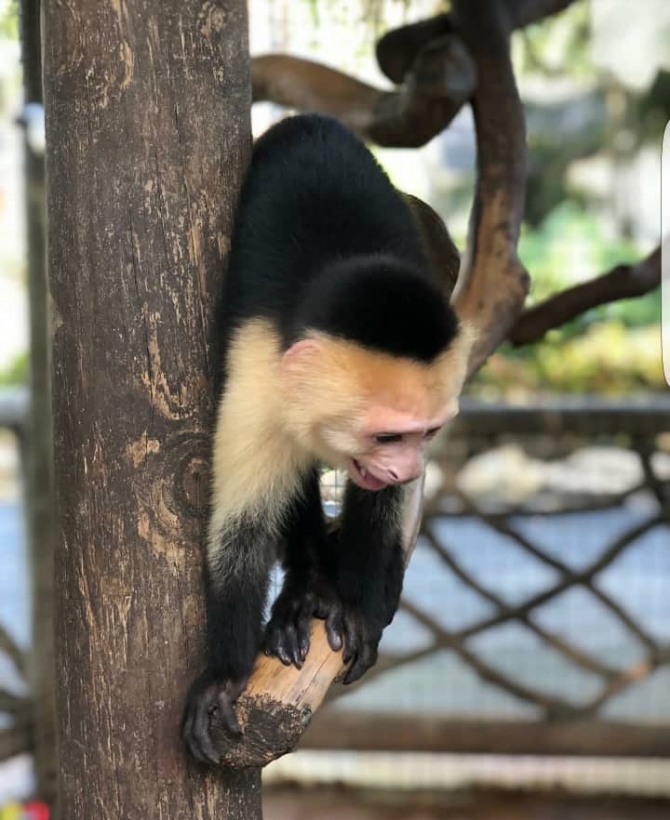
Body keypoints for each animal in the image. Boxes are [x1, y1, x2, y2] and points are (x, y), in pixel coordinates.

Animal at [182, 114, 472, 764]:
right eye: (386, 435)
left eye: (426, 432)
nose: (406, 465)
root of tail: (309, 120)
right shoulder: (259, 383)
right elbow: (241, 528)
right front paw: (226, 673)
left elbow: (382, 504)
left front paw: (360, 605)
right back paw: (306, 592)